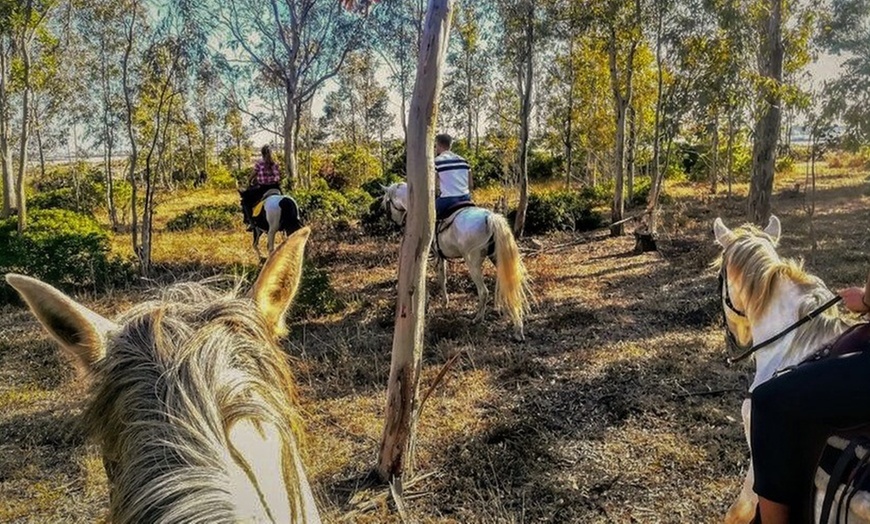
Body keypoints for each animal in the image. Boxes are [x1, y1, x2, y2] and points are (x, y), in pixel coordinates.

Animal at [384, 182, 532, 342]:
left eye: (387, 202)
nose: (397, 222)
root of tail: (490, 217)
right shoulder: (441, 257)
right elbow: (442, 278)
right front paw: (445, 302)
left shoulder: (433, 255)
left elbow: (436, 279)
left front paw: (438, 303)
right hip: (497, 258)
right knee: (509, 286)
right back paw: (516, 327)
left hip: (473, 263)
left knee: (484, 291)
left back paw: (478, 318)